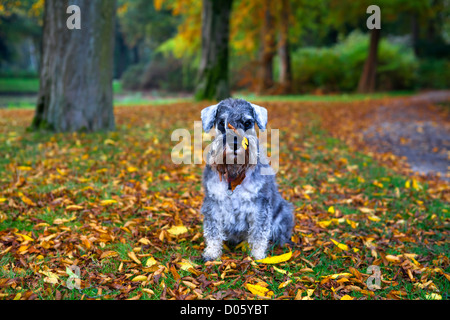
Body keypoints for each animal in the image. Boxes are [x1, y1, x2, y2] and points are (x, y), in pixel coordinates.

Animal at [201, 97, 296, 260]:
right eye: (221, 123)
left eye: (247, 123)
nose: (234, 143)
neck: (234, 175)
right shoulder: (213, 204)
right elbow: (213, 230)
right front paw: (212, 252)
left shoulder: (260, 206)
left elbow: (259, 232)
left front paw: (257, 255)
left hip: (283, 212)